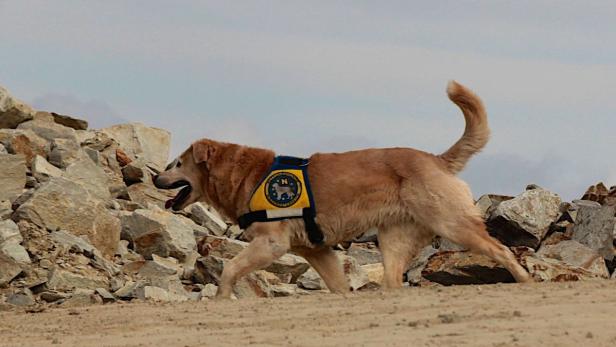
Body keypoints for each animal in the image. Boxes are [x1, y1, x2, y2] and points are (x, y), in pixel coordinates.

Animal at [155, 81, 536, 300]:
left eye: (176, 163)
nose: (156, 179)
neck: (245, 174)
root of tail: (436, 159)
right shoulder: (318, 250)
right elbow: (338, 284)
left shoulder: (271, 243)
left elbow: (231, 269)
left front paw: (221, 297)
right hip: (394, 239)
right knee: (394, 281)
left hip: (451, 223)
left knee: (501, 250)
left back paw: (524, 280)